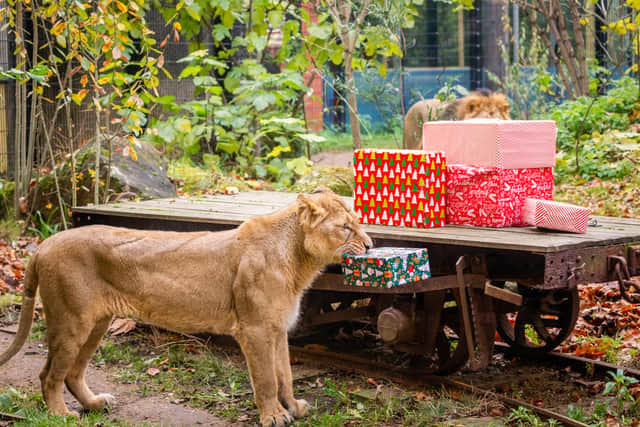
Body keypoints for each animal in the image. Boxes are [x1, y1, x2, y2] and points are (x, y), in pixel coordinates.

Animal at [0, 190, 372, 427]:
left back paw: (94, 404)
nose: (370, 245)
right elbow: (267, 378)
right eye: (346, 227)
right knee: (49, 374)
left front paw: (293, 407)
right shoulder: (253, 328)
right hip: (71, 321)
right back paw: (59, 415)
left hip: (96, 323)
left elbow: (286, 376)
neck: (299, 260)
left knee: (72, 372)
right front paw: (274, 417)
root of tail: (45, 243)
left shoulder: (278, 328)